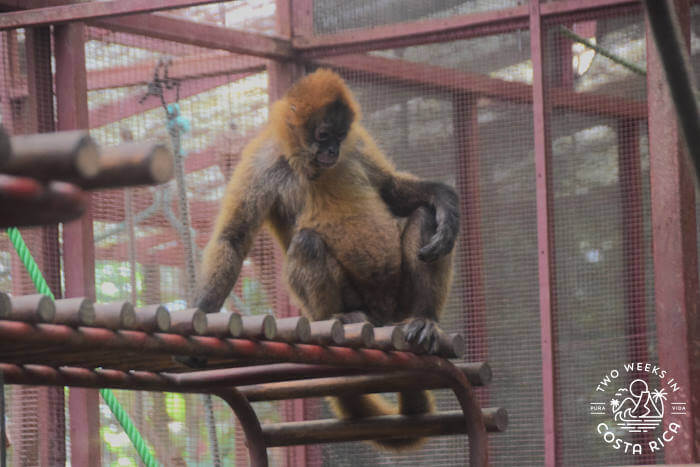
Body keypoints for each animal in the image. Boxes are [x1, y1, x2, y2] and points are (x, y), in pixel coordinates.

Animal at [194, 69, 459, 452]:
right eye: (322, 135)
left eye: (340, 135)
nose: (333, 151)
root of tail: (382, 315)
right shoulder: (262, 160)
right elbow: (233, 238)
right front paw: (201, 310)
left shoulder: (357, 143)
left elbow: (391, 191)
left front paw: (444, 199)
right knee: (307, 242)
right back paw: (342, 316)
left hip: (400, 300)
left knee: (424, 216)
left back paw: (424, 319)